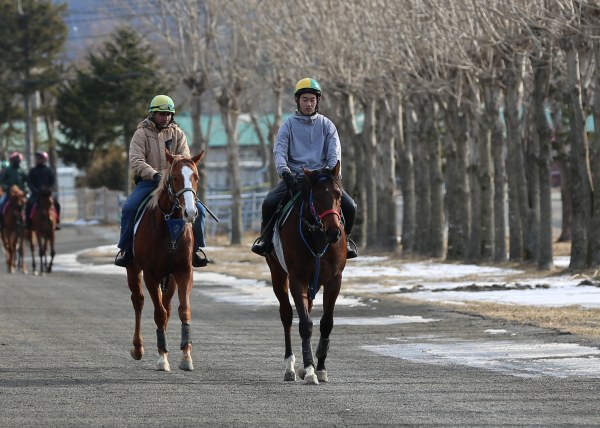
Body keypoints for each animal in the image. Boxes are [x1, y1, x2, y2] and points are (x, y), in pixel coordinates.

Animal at [126, 150, 205, 372]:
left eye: (196, 177)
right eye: (174, 178)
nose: (190, 212)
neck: (170, 226)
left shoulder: (184, 272)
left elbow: (183, 311)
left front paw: (186, 356)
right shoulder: (151, 275)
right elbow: (158, 313)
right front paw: (162, 358)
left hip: (170, 278)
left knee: (167, 306)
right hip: (133, 271)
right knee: (139, 302)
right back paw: (138, 348)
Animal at [265, 161, 347, 384]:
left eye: (338, 194)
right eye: (316, 196)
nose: (334, 232)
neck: (317, 235)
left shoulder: (334, 280)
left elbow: (326, 323)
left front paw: (320, 368)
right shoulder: (297, 279)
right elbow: (305, 324)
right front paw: (310, 370)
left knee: (308, 308)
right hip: (278, 274)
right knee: (286, 315)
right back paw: (290, 367)